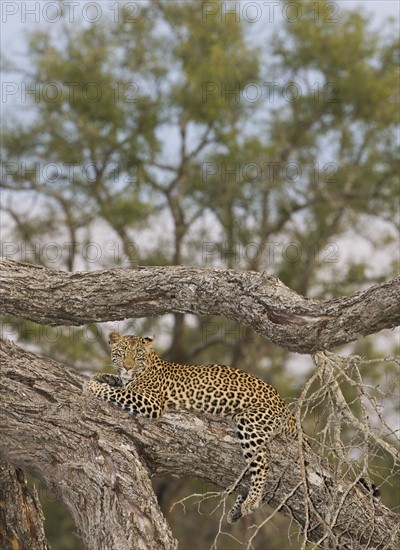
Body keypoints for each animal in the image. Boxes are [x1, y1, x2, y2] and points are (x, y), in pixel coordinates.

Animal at [84, 330, 296, 524]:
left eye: (138, 356)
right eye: (122, 352)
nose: (128, 367)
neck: (146, 367)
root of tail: (287, 408)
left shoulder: (150, 402)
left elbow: (118, 392)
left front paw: (93, 386)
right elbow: (116, 382)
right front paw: (99, 376)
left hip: (249, 423)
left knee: (263, 459)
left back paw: (252, 501)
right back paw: (236, 510)